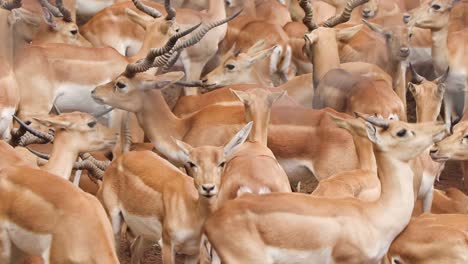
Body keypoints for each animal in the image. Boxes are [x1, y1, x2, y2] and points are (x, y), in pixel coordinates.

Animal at [98, 123, 252, 264]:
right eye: (192, 163)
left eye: (222, 163)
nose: (208, 188)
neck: (192, 214)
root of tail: (119, 160)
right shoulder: (168, 245)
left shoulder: (193, 252)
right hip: (115, 223)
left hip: (148, 236)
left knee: (135, 250)